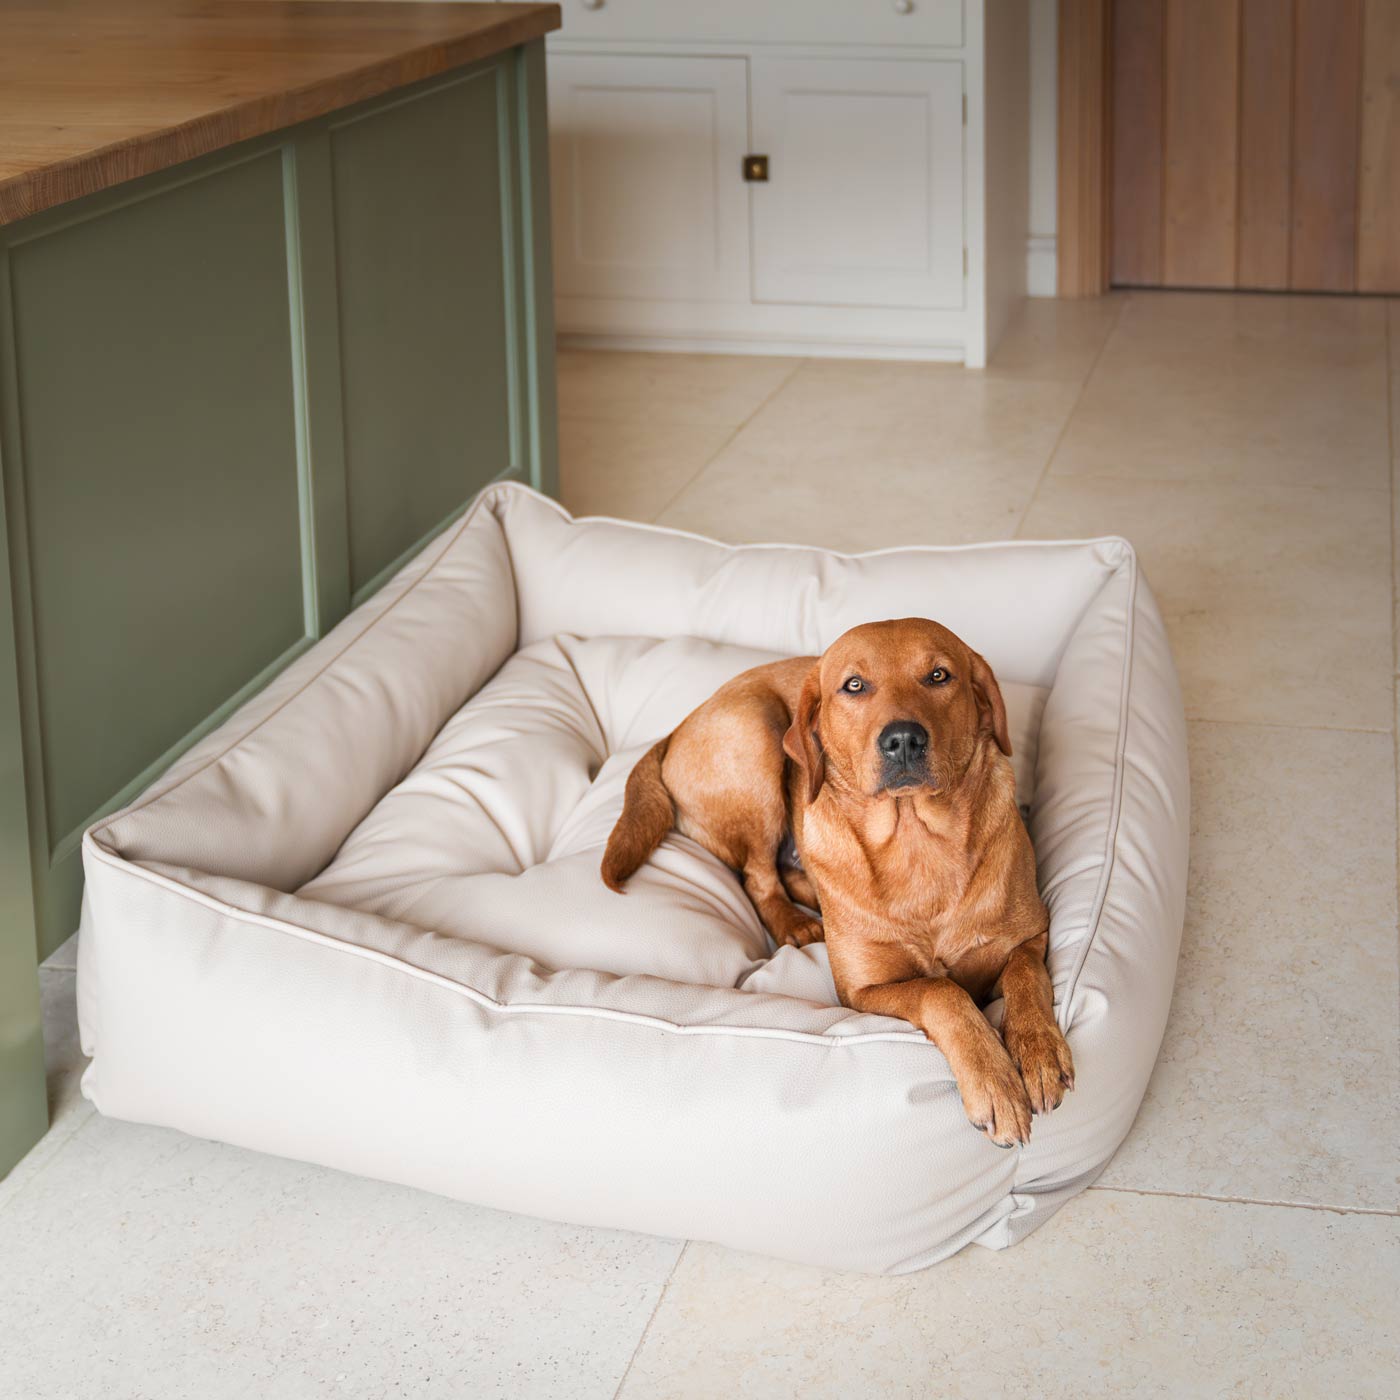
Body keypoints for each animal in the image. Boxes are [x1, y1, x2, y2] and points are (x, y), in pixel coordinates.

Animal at [599, 618, 1069, 1142]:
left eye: (939, 676)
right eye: (854, 685)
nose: (903, 739)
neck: (916, 842)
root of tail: (675, 728)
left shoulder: (1031, 935)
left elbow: (1026, 976)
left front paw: (1039, 1052)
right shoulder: (862, 991)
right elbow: (942, 992)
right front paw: (993, 1079)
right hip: (755, 738)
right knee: (758, 878)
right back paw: (798, 921)